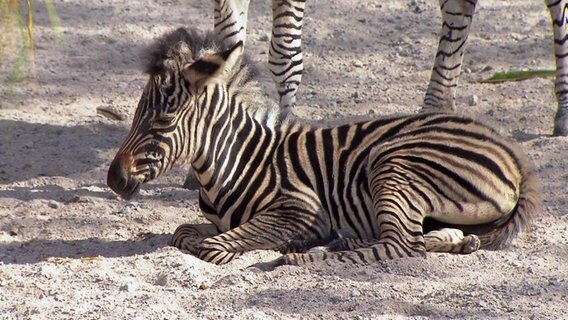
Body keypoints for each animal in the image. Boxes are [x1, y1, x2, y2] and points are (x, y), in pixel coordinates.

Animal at [105, 29, 540, 270]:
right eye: (135, 115)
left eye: (162, 121)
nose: (114, 179)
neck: (234, 162)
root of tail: (515, 157)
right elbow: (182, 234)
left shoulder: (303, 208)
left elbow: (211, 247)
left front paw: (277, 244)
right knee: (425, 237)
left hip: (393, 163)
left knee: (402, 244)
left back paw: (303, 255)